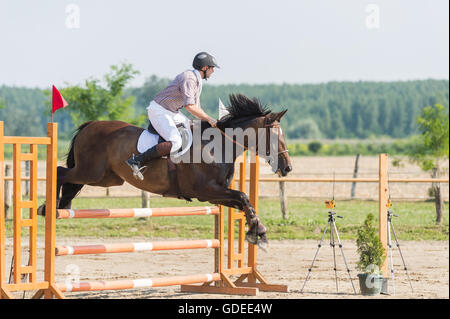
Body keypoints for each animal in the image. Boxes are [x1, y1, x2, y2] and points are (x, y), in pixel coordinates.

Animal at [37, 94, 292, 249]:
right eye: (273, 136)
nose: (287, 167)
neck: (218, 146)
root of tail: (89, 125)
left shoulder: (216, 195)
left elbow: (244, 202)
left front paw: (257, 230)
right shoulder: (206, 191)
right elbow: (243, 196)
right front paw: (258, 232)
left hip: (106, 178)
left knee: (70, 181)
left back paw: (61, 206)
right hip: (90, 172)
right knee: (60, 171)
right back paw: (49, 207)